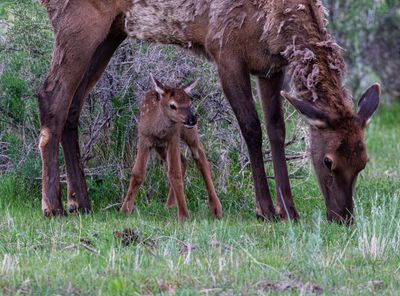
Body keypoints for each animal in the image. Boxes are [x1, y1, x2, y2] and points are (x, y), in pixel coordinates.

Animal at [120, 76, 223, 222]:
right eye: (172, 105)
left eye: (189, 103)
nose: (192, 119)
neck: (157, 129)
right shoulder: (144, 138)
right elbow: (137, 174)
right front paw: (124, 210)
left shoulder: (173, 137)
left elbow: (174, 173)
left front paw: (184, 216)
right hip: (160, 147)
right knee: (184, 160)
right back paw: (169, 206)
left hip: (188, 134)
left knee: (200, 157)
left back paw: (215, 209)